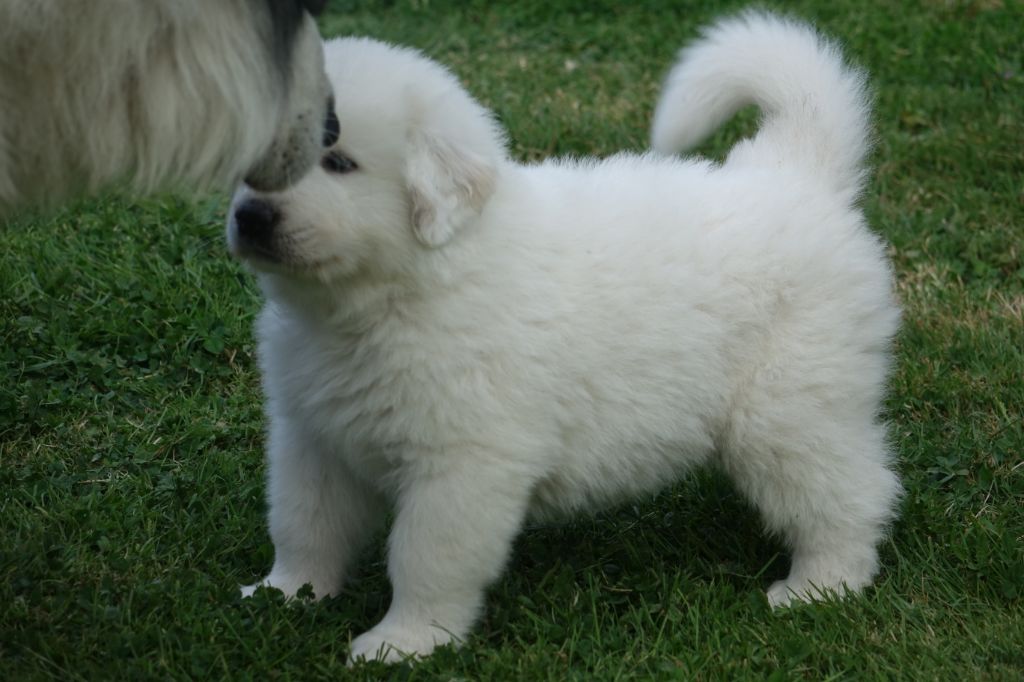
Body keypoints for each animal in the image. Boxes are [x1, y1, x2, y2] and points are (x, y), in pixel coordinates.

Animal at [228, 9, 901, 659]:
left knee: (849, 494)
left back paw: (821, 586)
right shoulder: (313, 438)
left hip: (788, 408)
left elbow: (425, 559)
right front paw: (284, 595)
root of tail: (793, 172)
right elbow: (303, 524)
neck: (386, 297)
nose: (251, 217)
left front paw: (405, 641)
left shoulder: (463, 463)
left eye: (338, 162)